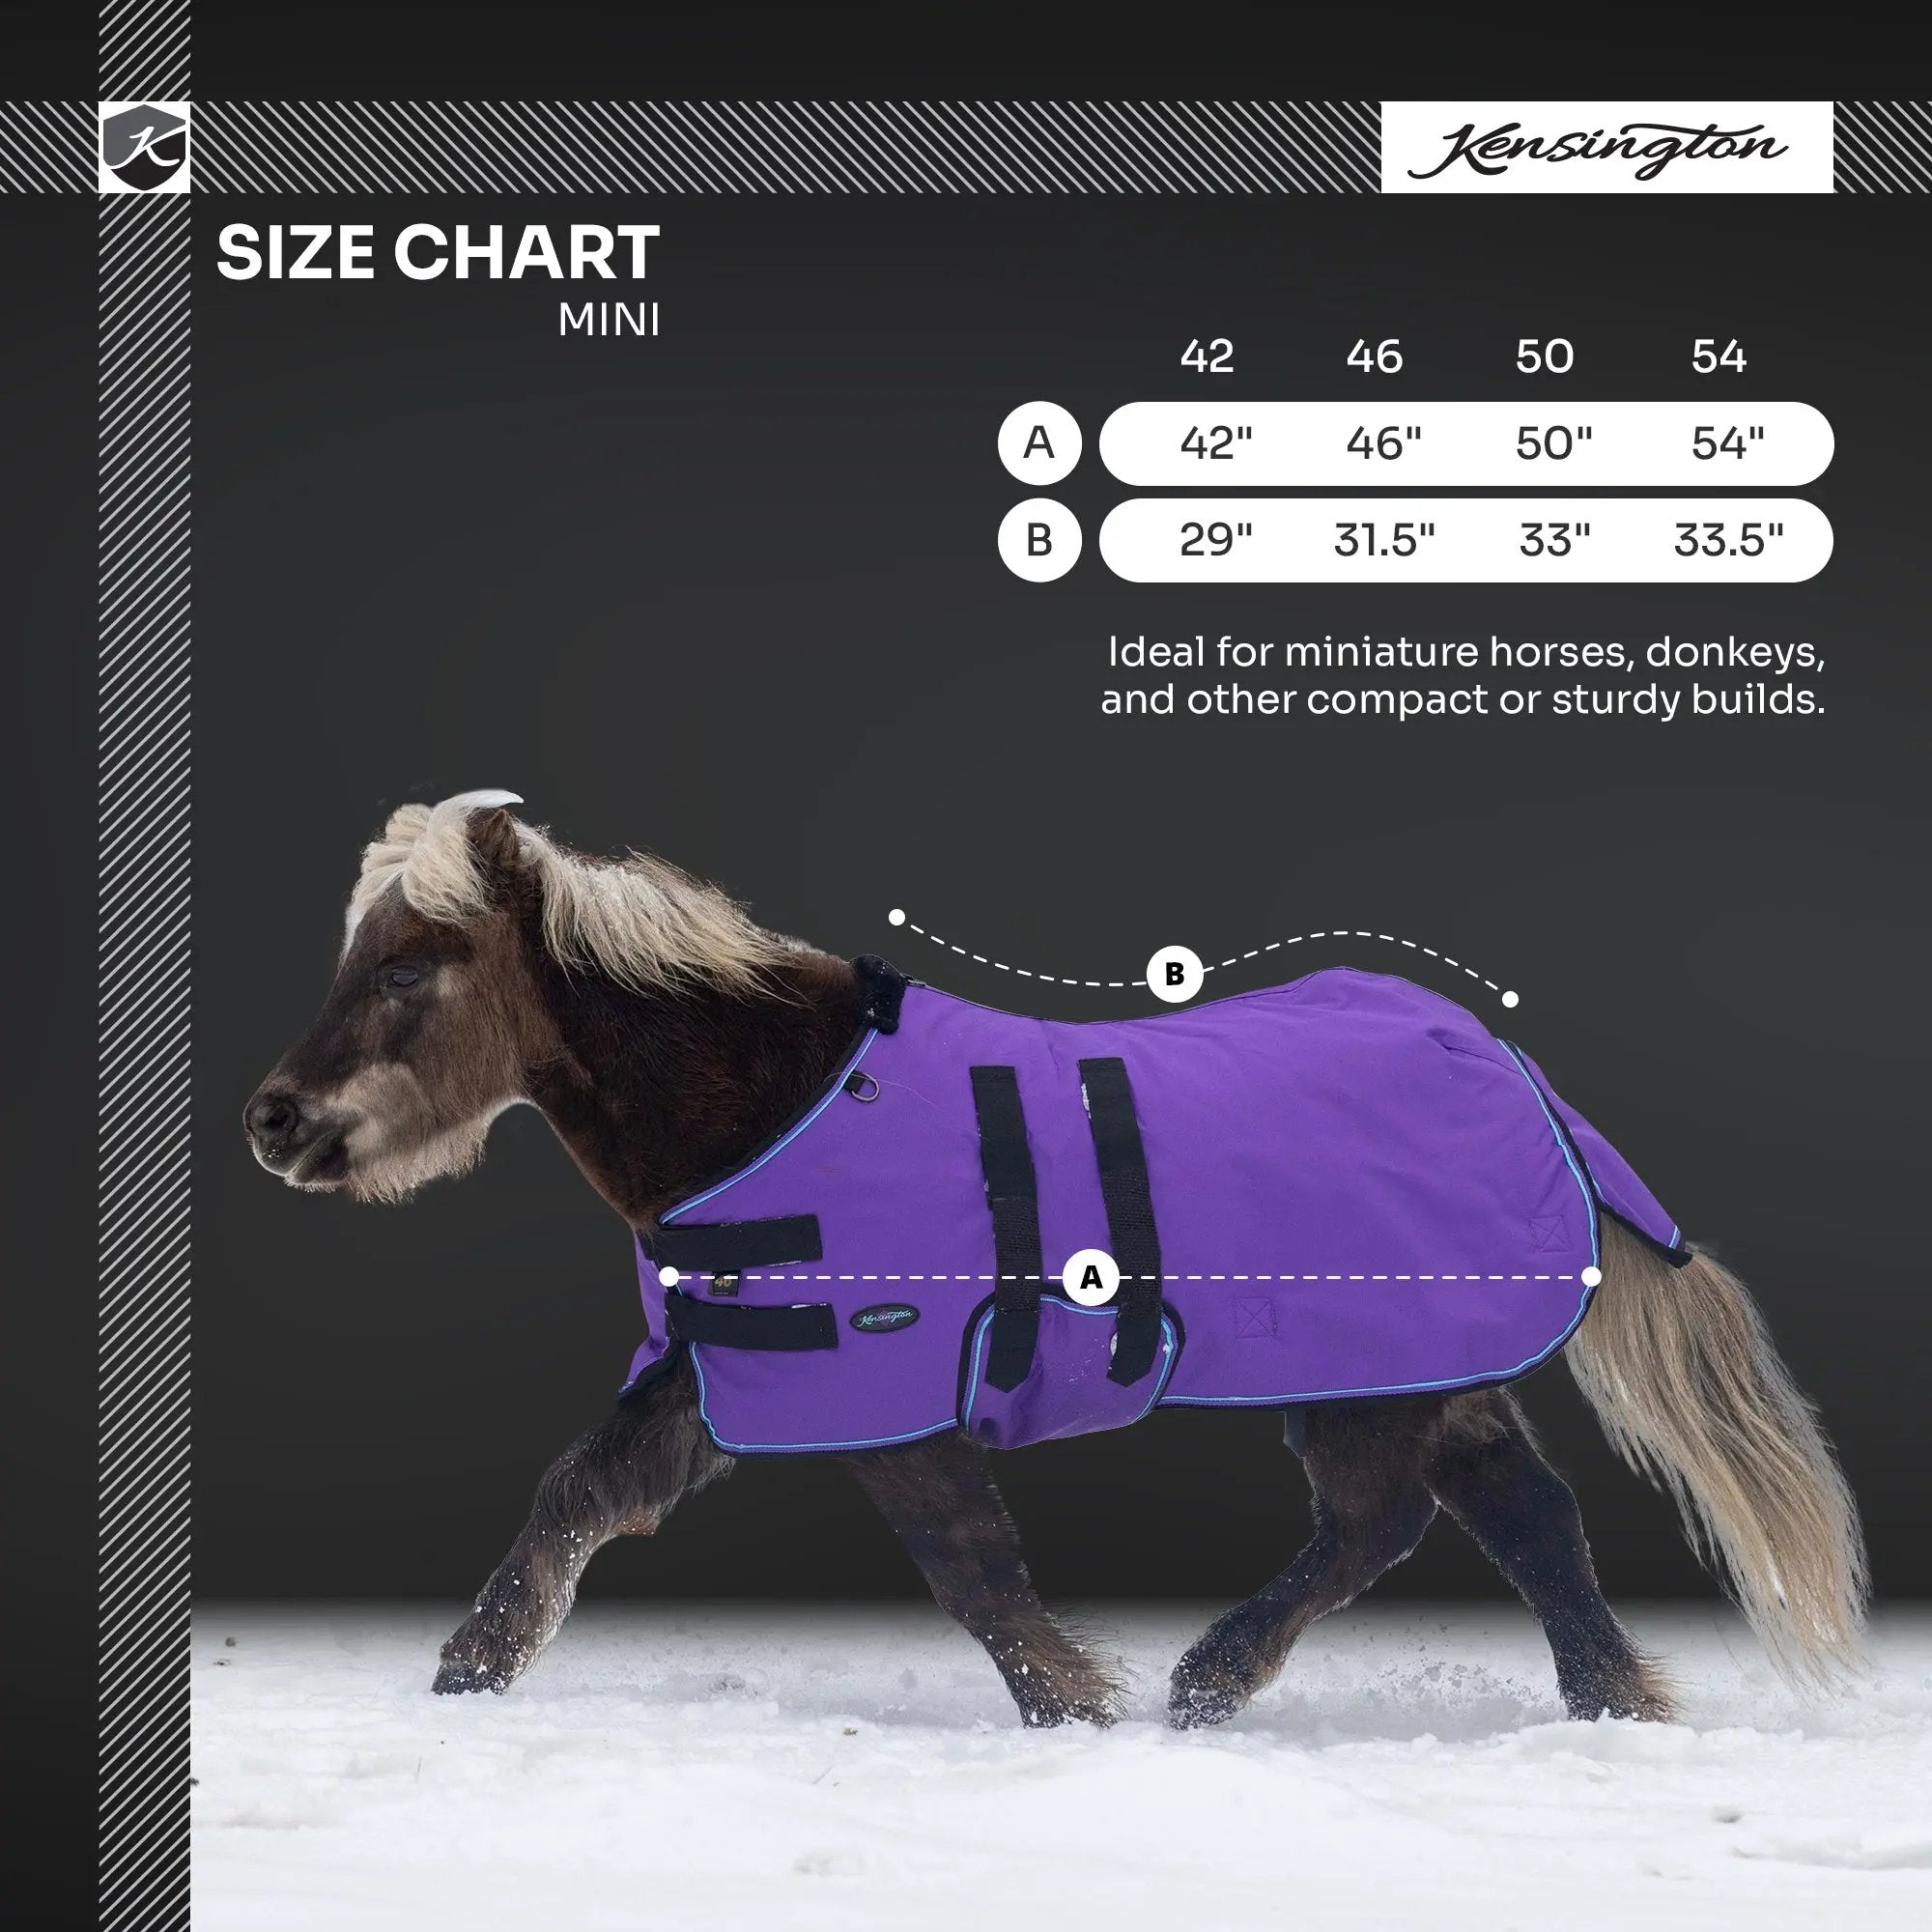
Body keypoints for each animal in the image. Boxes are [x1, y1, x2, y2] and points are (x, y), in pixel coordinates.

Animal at [243, 790, 1867, 1727]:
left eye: (409, 966)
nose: (277, 1123)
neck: (777, 1100)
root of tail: (1513, 1067)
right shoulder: (732, 1365)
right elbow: (577, 1496)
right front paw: (470, 1671)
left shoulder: (881, 1388)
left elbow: (969, 1564)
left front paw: (1073, 1705)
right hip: (1422, 1365)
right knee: (1519, 1511)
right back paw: (1608, 1701)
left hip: (1365, 1376)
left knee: (1386, 1519)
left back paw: (1215, 1680)